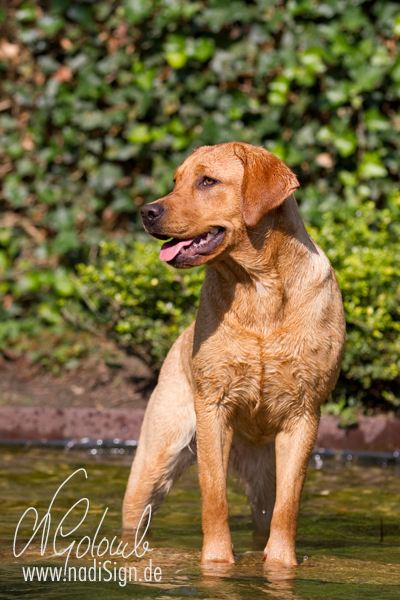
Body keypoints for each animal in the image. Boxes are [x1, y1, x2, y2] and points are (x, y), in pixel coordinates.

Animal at [122, 141, 346, 568]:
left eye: (207, 181)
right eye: (176, 180)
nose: (146, 211)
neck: (257, 288)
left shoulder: (303, 414)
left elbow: (288, 506)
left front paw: (280, 565)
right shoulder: (213, 408)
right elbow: (214, 498)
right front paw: (217, 563)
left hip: (264, 476)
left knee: (268, 510)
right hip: (155, 460)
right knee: (134, 516)